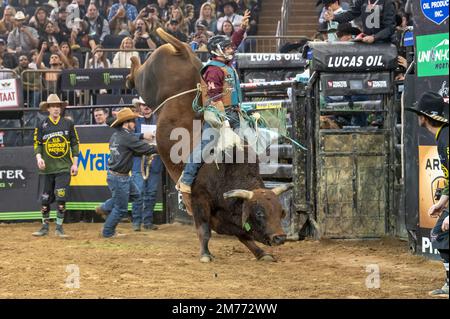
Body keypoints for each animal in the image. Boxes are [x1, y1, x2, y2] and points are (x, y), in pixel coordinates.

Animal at [126, 28, 290, 262]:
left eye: (280, 211)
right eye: (260, 213)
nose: (280, 237)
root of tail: (183, 50)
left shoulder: (226, 216)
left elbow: (243, 235)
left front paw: (261, 253)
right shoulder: (199, 200)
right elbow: (204, 231)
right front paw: (205, 254)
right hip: (147, 80)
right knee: (137, 71)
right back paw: (130, 69)